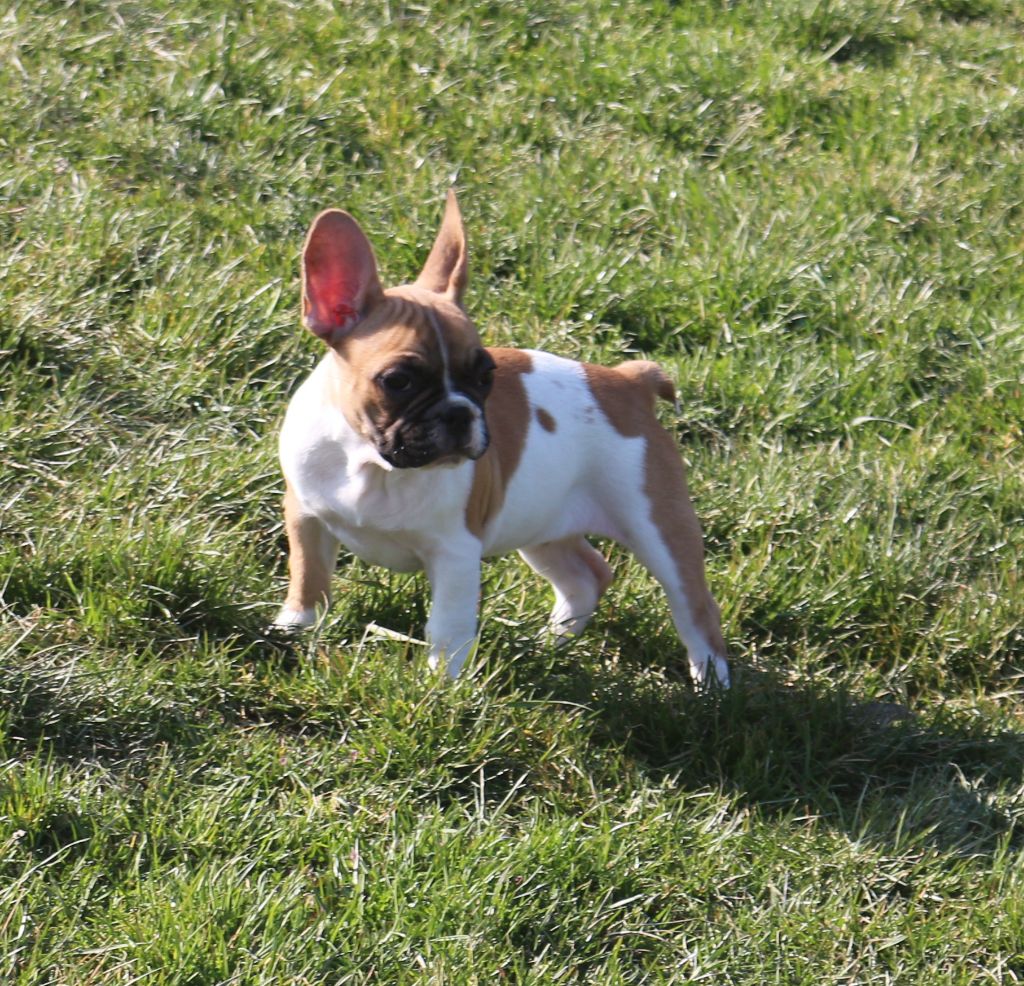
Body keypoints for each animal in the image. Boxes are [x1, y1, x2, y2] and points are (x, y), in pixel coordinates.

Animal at [272, 192, 729, 688]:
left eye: (485, 375)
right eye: (398, 381)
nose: (460, 412)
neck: (371, 463)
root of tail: (631, 381)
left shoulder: (454, 553)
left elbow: (447, 626)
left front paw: (440, 685)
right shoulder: (306, 517)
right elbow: (308, 578)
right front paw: (292, 630)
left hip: (657, 527)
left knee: (697, 610)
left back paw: (712, 689)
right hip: (542, 524)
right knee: (585, 576)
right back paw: (549, 644)